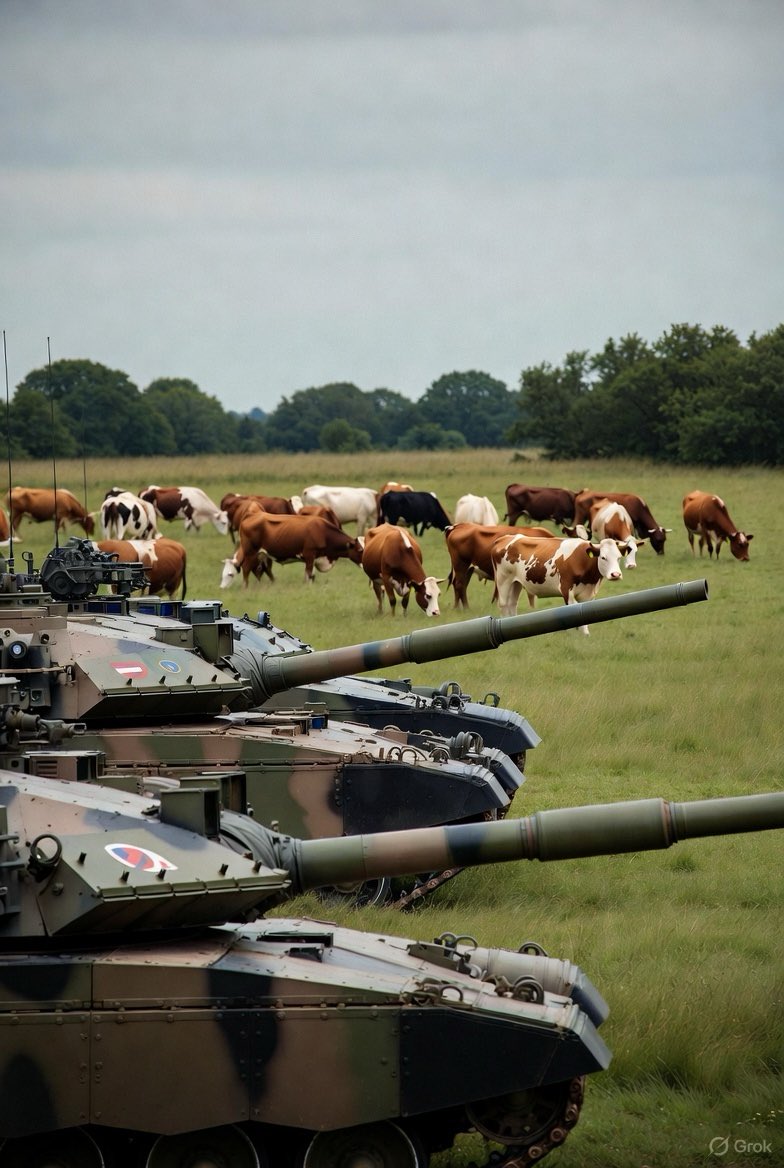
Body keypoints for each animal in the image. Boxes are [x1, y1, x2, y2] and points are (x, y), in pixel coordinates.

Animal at [220, 512, 364, 588]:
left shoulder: (314, 558)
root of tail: (252, 515)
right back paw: (245, 587)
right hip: (250, 552)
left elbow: (312, 576)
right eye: (360, 550)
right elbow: (309, 575)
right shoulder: (309, 555)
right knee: (246, 569)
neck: (323, 532)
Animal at [491, 533, 626, 632]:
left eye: (619, 557)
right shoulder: (567, 590)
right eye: (603, 557)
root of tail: (505, 537)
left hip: (516, 583)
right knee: (503, 604)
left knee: (512, 604)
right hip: (503, 580)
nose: (616, 574)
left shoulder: (588, 595)